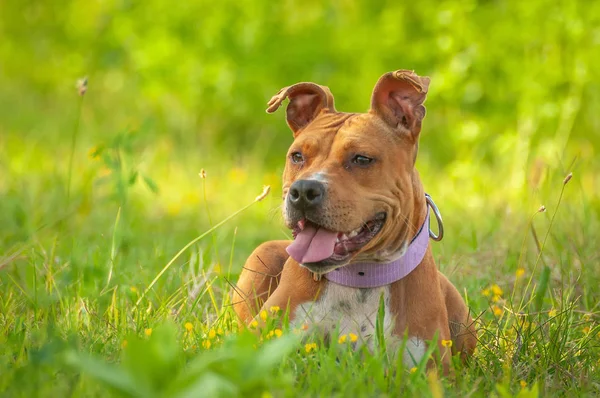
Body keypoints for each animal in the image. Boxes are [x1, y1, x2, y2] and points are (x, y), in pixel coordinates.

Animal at [232, 69, 476, 370]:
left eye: (361, 159)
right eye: (297, 156)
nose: (303, 191)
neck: (361, 278)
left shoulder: (429, 369)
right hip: (262, 254)